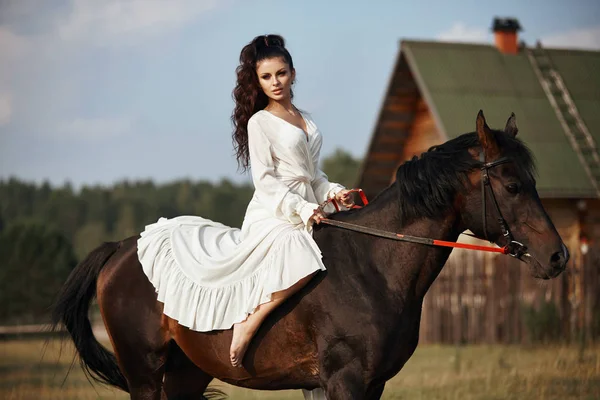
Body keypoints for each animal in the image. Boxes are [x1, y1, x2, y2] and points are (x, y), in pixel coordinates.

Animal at [51, 111, 568, 398]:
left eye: (533, 180)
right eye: (513, 186)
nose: (558, 257)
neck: (373, 268)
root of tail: (123, 247)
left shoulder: (372, 384)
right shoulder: (345, 381)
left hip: (186, 374)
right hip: (144, 373)